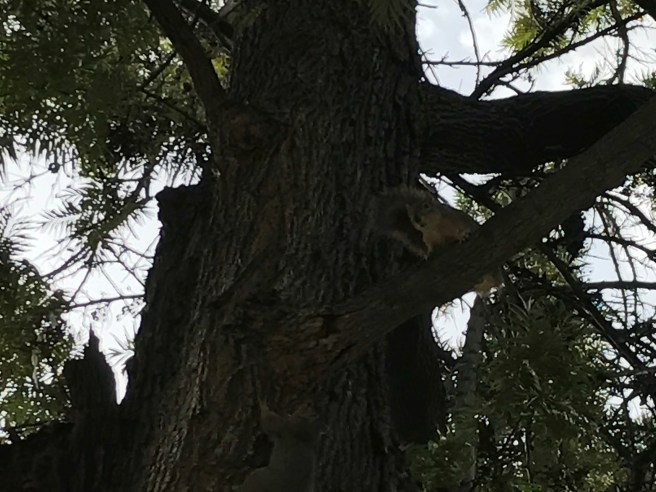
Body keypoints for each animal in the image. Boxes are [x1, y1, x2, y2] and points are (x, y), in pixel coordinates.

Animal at [372, 185, 502, 295]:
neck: (434, 226)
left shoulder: (457, 219)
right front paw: (428, 253)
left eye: (426, 206)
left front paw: (463, 235)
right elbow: (430, 246)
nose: (417, 218)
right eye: (410, 215)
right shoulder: (428, 238)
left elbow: (464, 229)